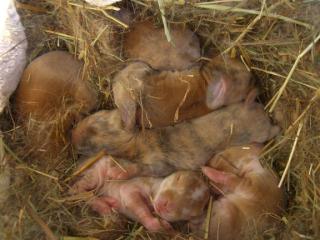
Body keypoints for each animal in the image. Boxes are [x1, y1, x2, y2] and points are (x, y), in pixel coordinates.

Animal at [71, 91, 278, 177]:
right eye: (94, 117)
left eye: (95, 127)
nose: (72, 135)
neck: (137, 140)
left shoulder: (159, 163)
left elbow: (145, 170)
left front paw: (117, 173)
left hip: (260, 131)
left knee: (272, 130)